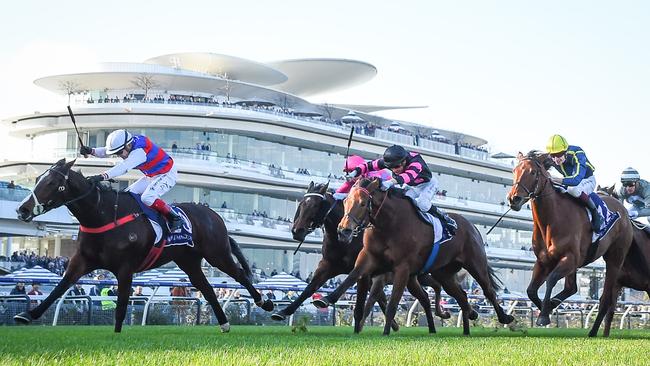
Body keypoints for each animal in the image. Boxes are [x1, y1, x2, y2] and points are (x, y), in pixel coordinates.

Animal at [14, 159, 274, 334]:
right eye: (37, 180)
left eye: (51, 182)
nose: (22, 209)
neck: (102, 214)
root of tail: (213, 214)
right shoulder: (82, 261)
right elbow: (60, 287)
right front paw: (27, 315)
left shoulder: (126, 267)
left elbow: (121, 304)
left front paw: (117, 335)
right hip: (189, 261)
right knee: (208, 289)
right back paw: (224, 323)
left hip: (217, 253)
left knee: (240, 275)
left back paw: (265, 302)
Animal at [270, 182, 448, 334]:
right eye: (301, 204)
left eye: (314, 205)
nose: (297, 231)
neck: (344, 241)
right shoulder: (329, 265)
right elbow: (309, 288)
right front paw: (283, 312)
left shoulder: (367, 273)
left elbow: (366, 300)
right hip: (412, 278)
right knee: (424, 296)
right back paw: (433, 325)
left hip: (419, 273)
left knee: (434, 287)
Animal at [312, 177, 512, 334]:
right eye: (345, 202)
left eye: (362, 203)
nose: (343, 230)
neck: (388, 224)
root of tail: (471, 225)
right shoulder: (369, 258)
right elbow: (352, 277)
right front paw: (326, 299)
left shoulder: (402, 268)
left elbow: (392, 303)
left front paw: (385, 332)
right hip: (443, 273)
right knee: (461, 296)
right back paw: (466, 328)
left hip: (475, 263)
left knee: (488, 290)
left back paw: (505, 318)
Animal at [504, 152, 632, 338]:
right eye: (514, 170)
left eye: (533, 172)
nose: (514, 198)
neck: (552, 219)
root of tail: (623, 211)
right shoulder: (543, 261)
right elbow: (531, 290)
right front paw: (546, 308)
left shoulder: (569, 258)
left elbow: (551, 280)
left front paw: (544, 315)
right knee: (571, 288)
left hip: (615, 259)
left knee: (606, 297)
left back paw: (593, 331)